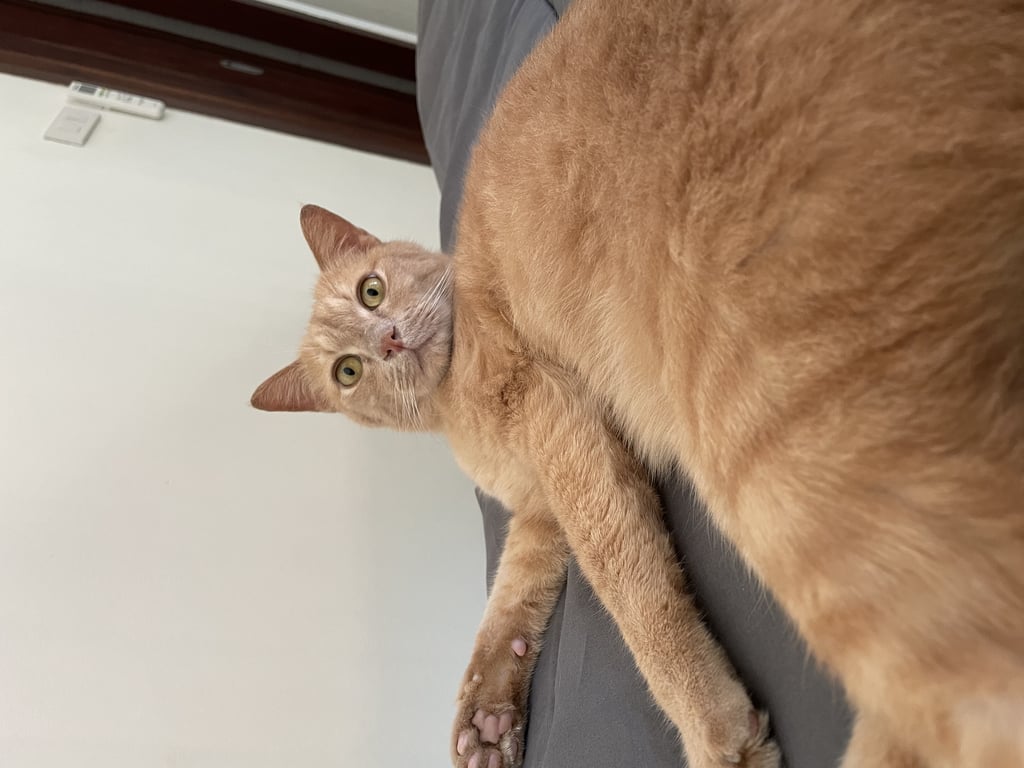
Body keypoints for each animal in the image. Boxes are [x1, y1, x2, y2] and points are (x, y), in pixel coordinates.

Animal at [252, 0, 1024, 766]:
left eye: (371, 290)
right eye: (348, 372)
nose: (387, 340)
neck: (451, 404)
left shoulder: (558, 425)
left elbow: (628, 586)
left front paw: (713, 726)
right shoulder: (540, 509)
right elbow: (509, 598)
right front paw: (486, 716)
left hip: (775, 438)